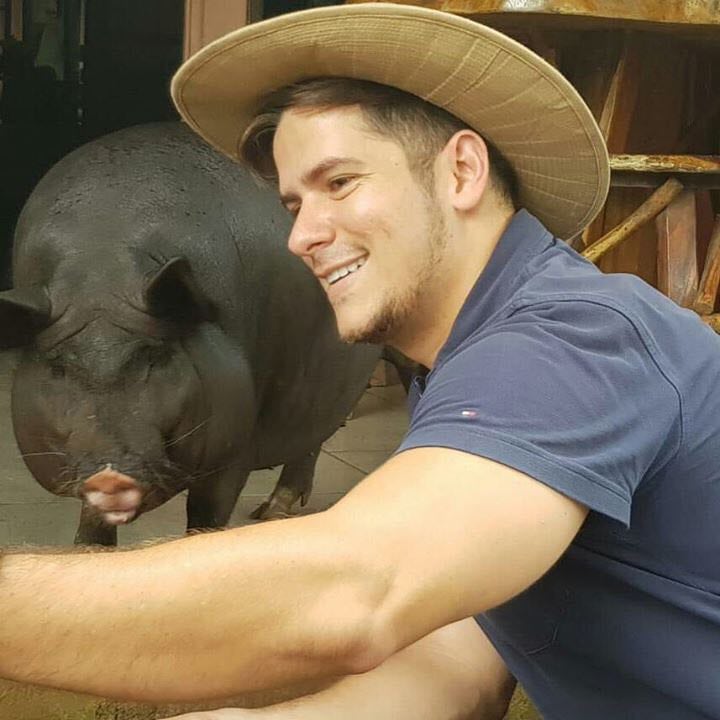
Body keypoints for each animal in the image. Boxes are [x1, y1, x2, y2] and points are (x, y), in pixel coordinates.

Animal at [0, 122, 380, 545]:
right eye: (58, 366)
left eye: (155, 355)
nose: (109, 476)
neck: (101, 272)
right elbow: (93, 527)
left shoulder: (238, 441)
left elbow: (206, 515)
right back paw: (267, 513)